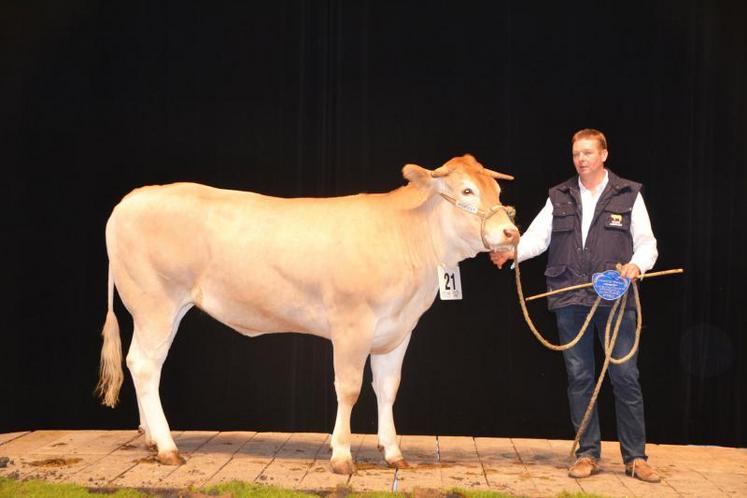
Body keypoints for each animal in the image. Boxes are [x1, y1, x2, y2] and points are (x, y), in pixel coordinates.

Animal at [95, 155, 520, 474]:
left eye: (498, 192)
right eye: (466, 191)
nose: (511, 233)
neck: (407, 236)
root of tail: (133, 199)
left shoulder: (398, 332)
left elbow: (387, 388)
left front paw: (393, 452)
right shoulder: (351, 324)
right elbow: (349, 388)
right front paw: (342, 455)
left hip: (156, 309)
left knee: (138, 363)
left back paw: (151, 439)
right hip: (156, 304)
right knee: (145, 366)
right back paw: (168, 447)